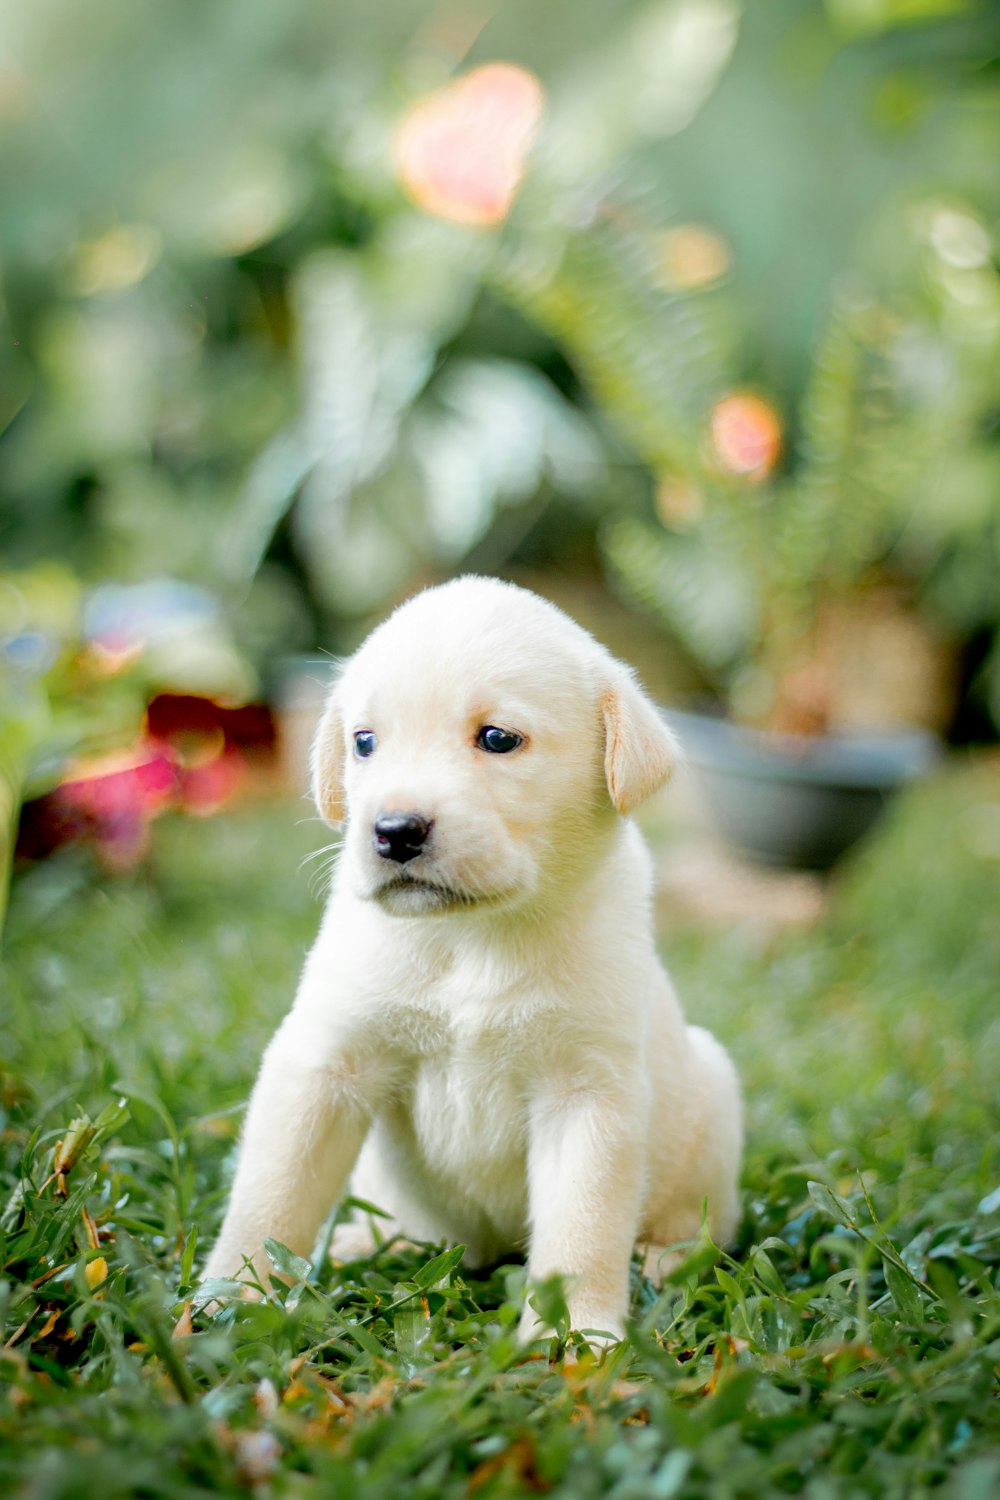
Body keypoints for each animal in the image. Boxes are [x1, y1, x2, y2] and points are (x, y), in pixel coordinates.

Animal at [200, 579, 743, 1344]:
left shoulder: (586, 1094)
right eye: (364, 742)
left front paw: (575, 1337)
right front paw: (233, 1298)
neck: (469, 936)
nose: (394, 832)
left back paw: (664, 1260)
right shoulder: (325, 1067)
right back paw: (366, 1242)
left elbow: (582, 1230)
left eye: (497, 738)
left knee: (701, 1226)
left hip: (714, 1102)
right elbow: (270, 1196)